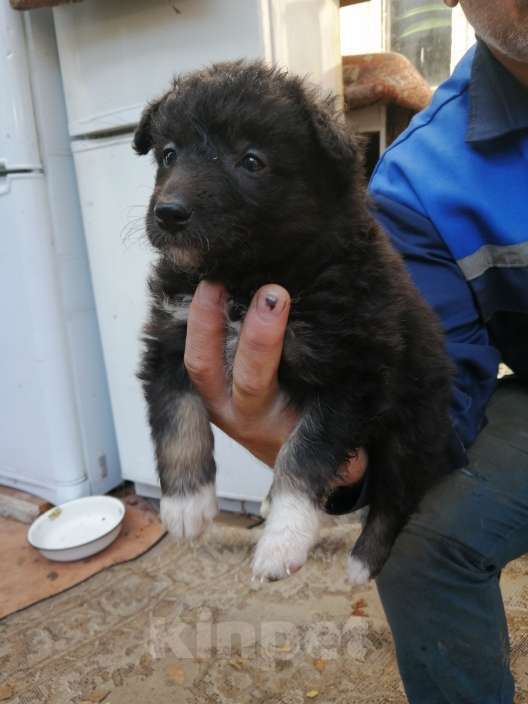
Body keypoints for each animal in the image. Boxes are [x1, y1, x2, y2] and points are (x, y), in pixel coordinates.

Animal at [134, 62, 452, 584]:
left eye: (251, 160)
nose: (169, 212)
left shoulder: (351, 372)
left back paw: (363, 561)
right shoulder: (171, 334)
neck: (247, 277)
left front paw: (283, 539)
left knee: (394, 497)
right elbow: (177, 417)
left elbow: (305, 453)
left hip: (412, 426)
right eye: (168, 155)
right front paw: (185, 505)